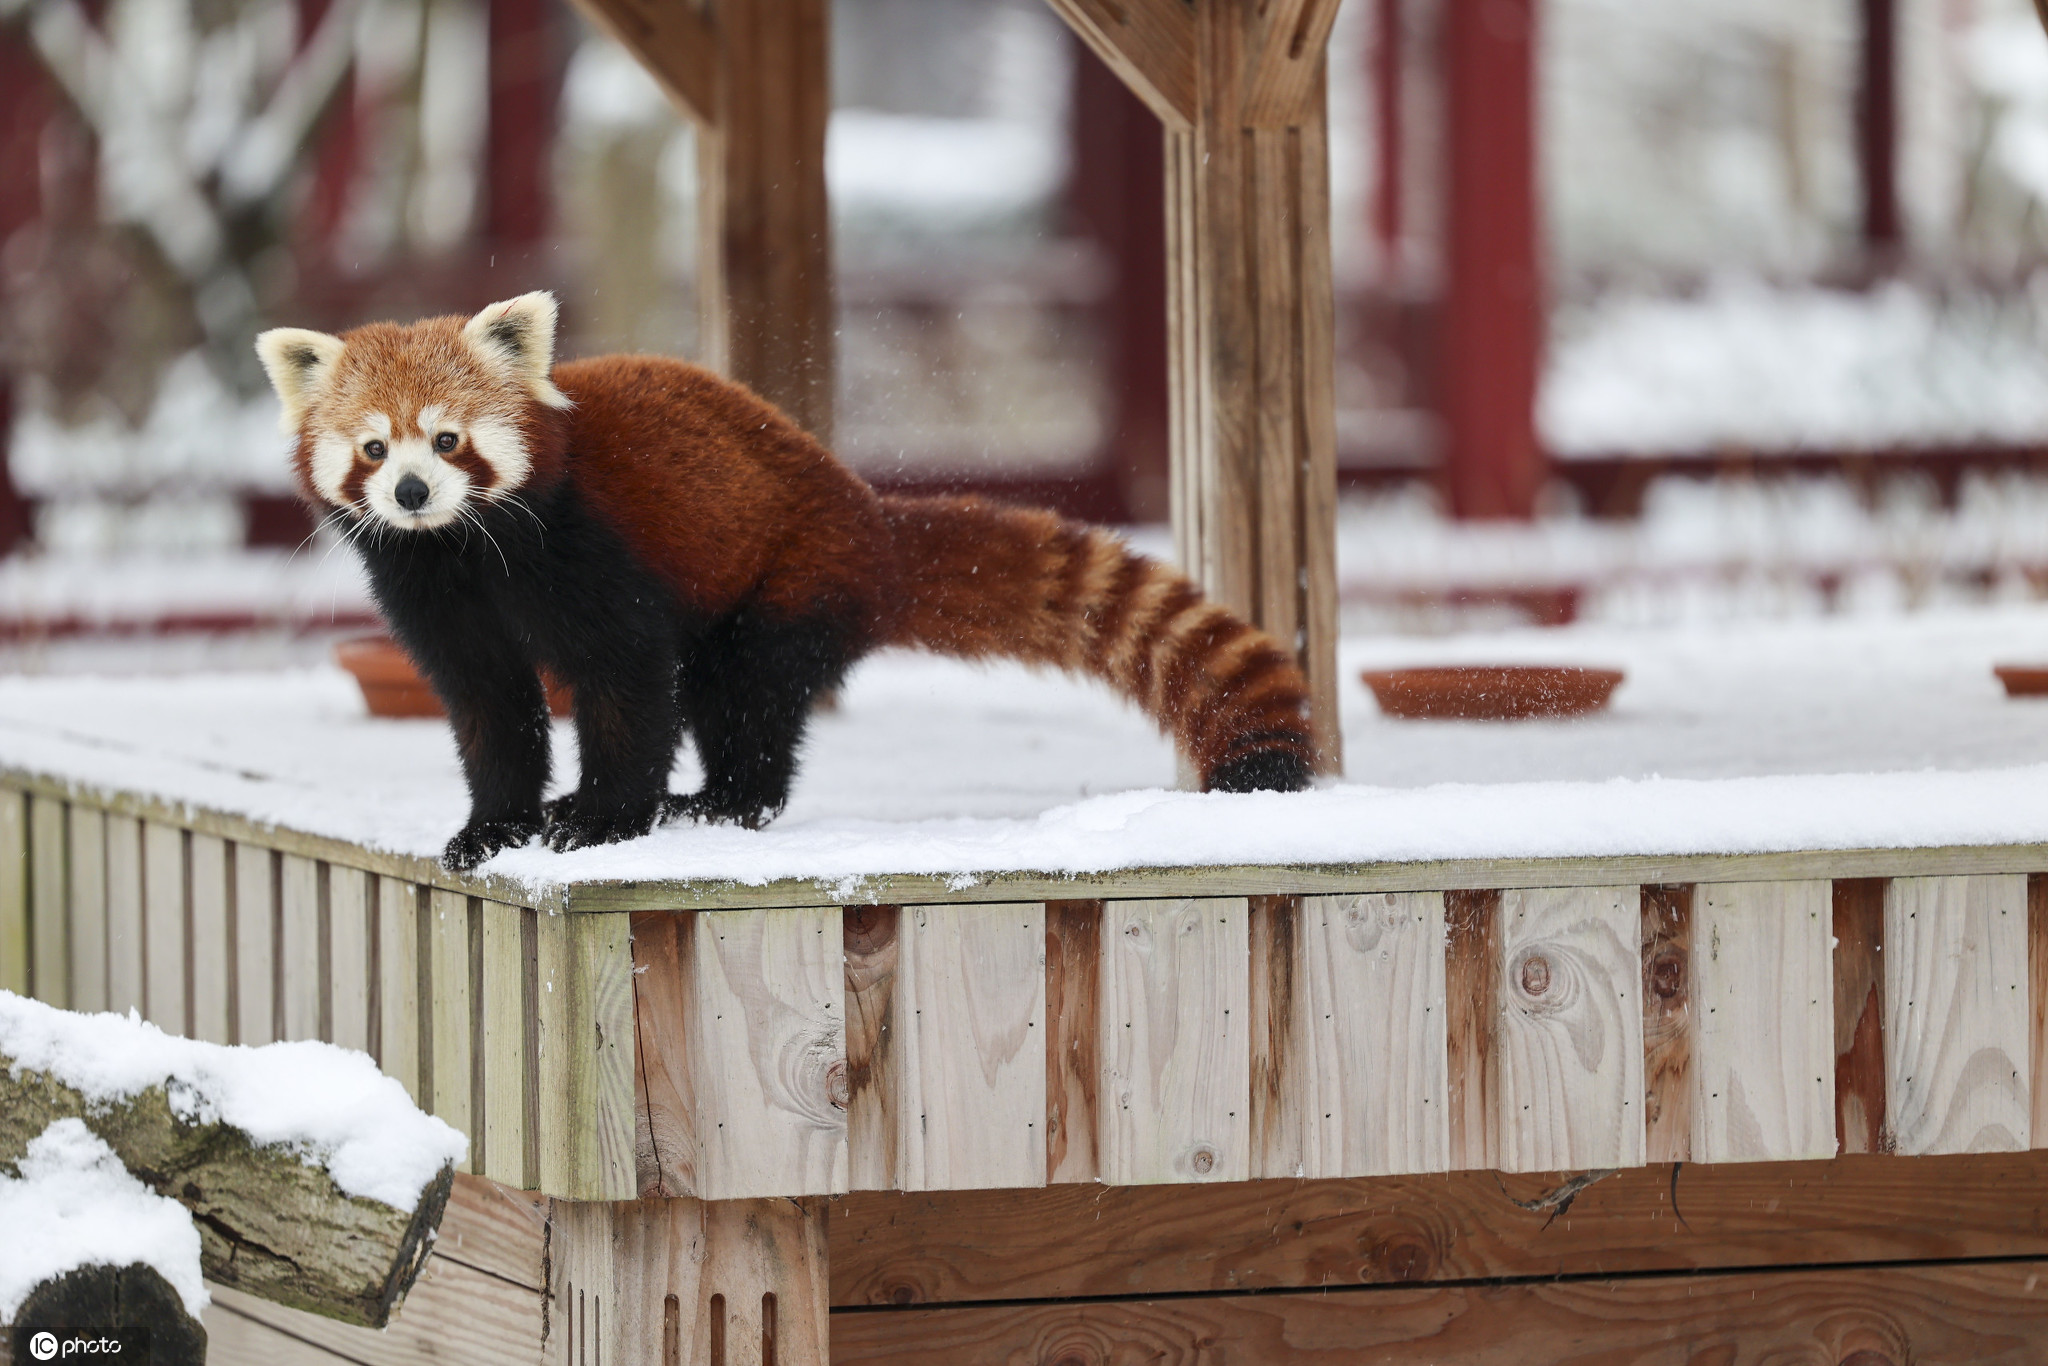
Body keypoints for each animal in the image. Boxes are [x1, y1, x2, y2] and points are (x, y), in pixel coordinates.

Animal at [256, 292, 1310, 872]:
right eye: (374, 448)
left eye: (447, 439)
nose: (412, 490)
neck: (465, 550)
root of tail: (870, 518)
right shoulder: (433, 596)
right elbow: (490, 707)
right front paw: (496, 825)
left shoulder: (588, 554)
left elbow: (629, 682)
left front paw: (599, 819)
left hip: (789, 579)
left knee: (746, 695)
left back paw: (724, 800)